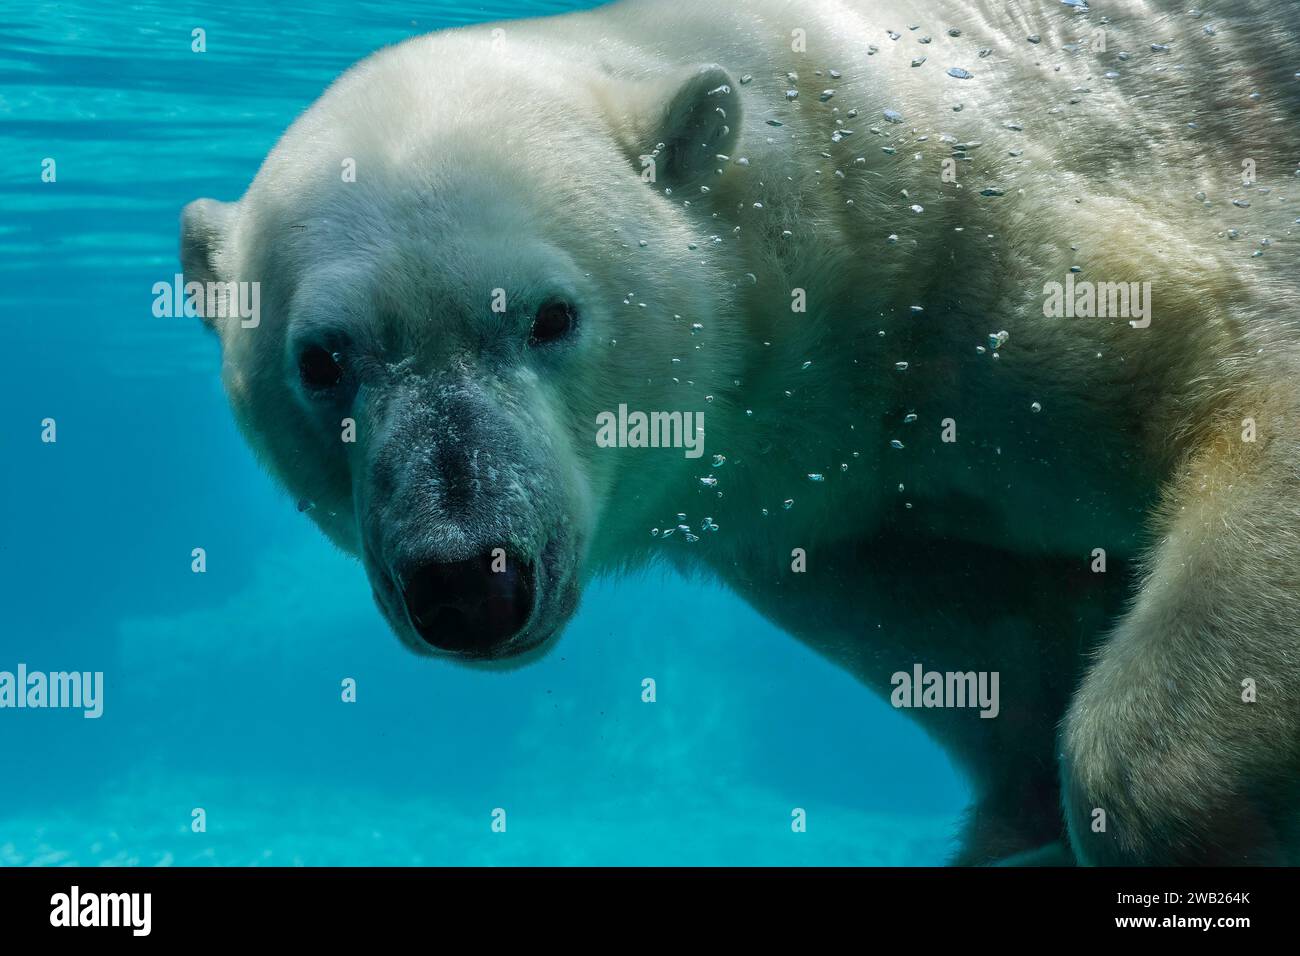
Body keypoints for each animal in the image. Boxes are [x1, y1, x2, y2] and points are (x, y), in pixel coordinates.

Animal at [180, 0, 1300, 868]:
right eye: (322, 360)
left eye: (549, 315)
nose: (467, 579)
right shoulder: (833, 488)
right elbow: (983, 625)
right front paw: (1017, 821)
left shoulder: (1032, 246)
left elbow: (1249, 387)